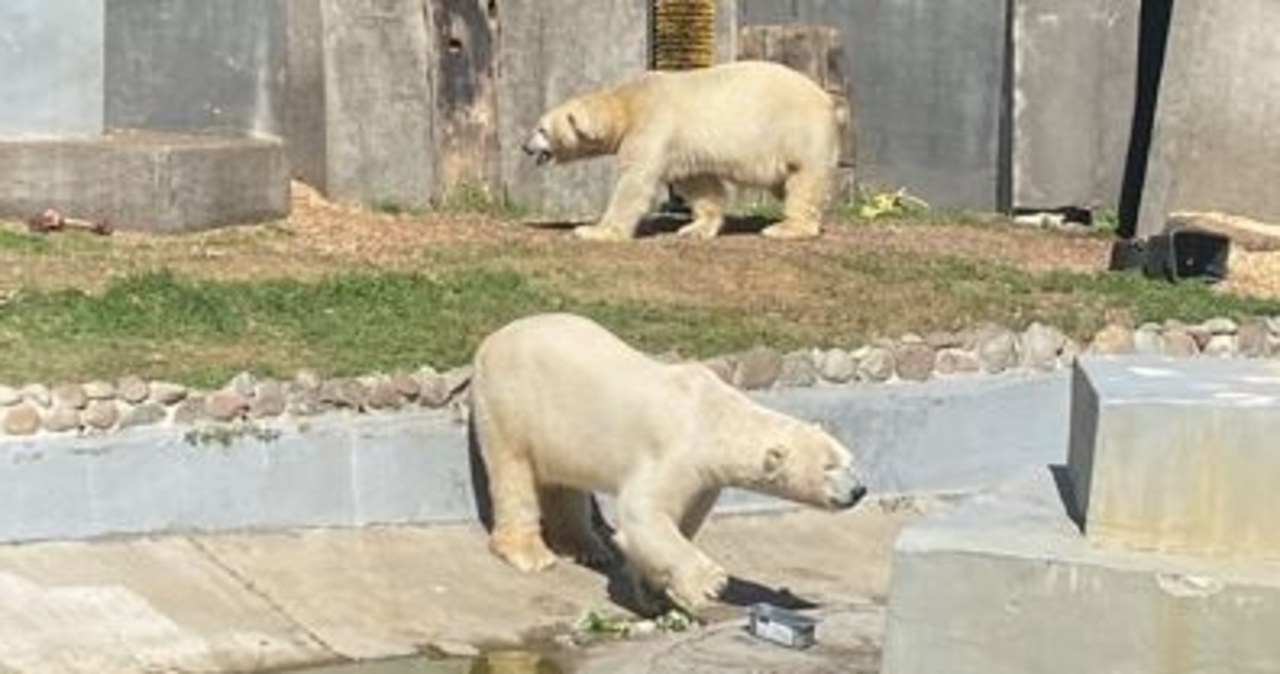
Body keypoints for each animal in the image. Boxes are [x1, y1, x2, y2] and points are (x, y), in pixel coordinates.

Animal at [465, 313, 865, 613]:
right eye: (829, 467)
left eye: (849, 460)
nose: (859, 490)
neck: (713, 416)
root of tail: (491, 339)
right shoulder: (676, 451)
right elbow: (643, 511)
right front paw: (709, 584)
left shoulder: (706, 478)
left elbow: (682, 519)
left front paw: (657, 586)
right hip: (511, 399)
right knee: (512, 469)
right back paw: (531, 553)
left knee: (565, 481)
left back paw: (587, 548)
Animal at [519, 59, 849, 241]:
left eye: (541, 129)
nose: (524, 147)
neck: (627, 104)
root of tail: (829, 101)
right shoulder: (684, 146)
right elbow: (699, 182)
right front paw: (696, 228)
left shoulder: (653, 124)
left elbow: (635, 181)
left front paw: (593, 231)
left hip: (797, 132)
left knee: (803, 180)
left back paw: (785, 228)